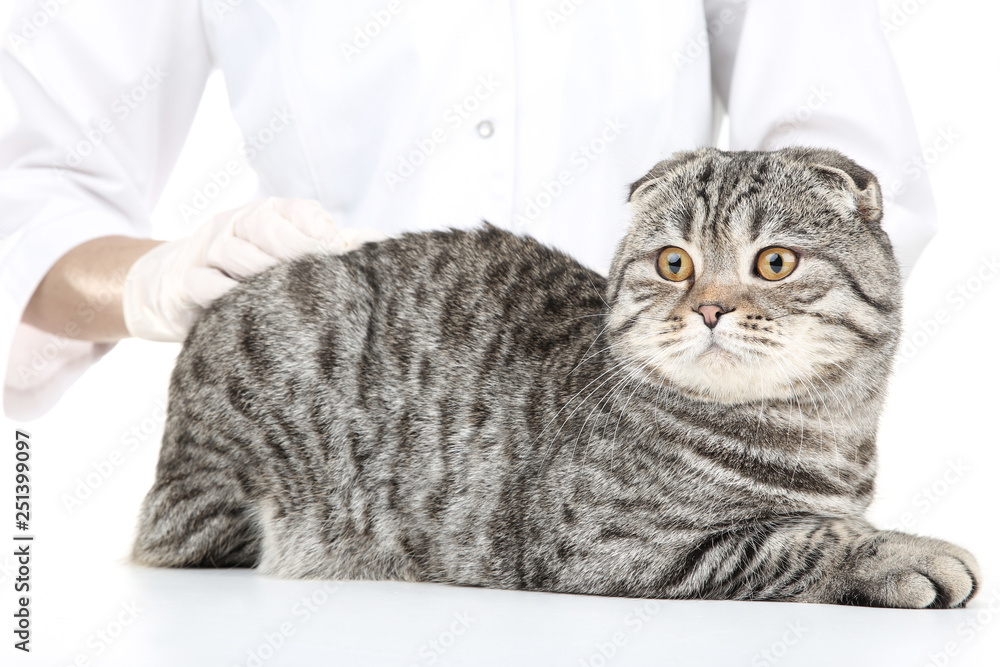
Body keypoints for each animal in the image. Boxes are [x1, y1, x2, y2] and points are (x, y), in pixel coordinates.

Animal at [131, 147, 976, 612]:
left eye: (774, 261)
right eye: (675, 262)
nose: (708, 306)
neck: (811, 431)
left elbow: (819, 523)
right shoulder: (607, 543)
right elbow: (797, 539)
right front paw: (902, 553)